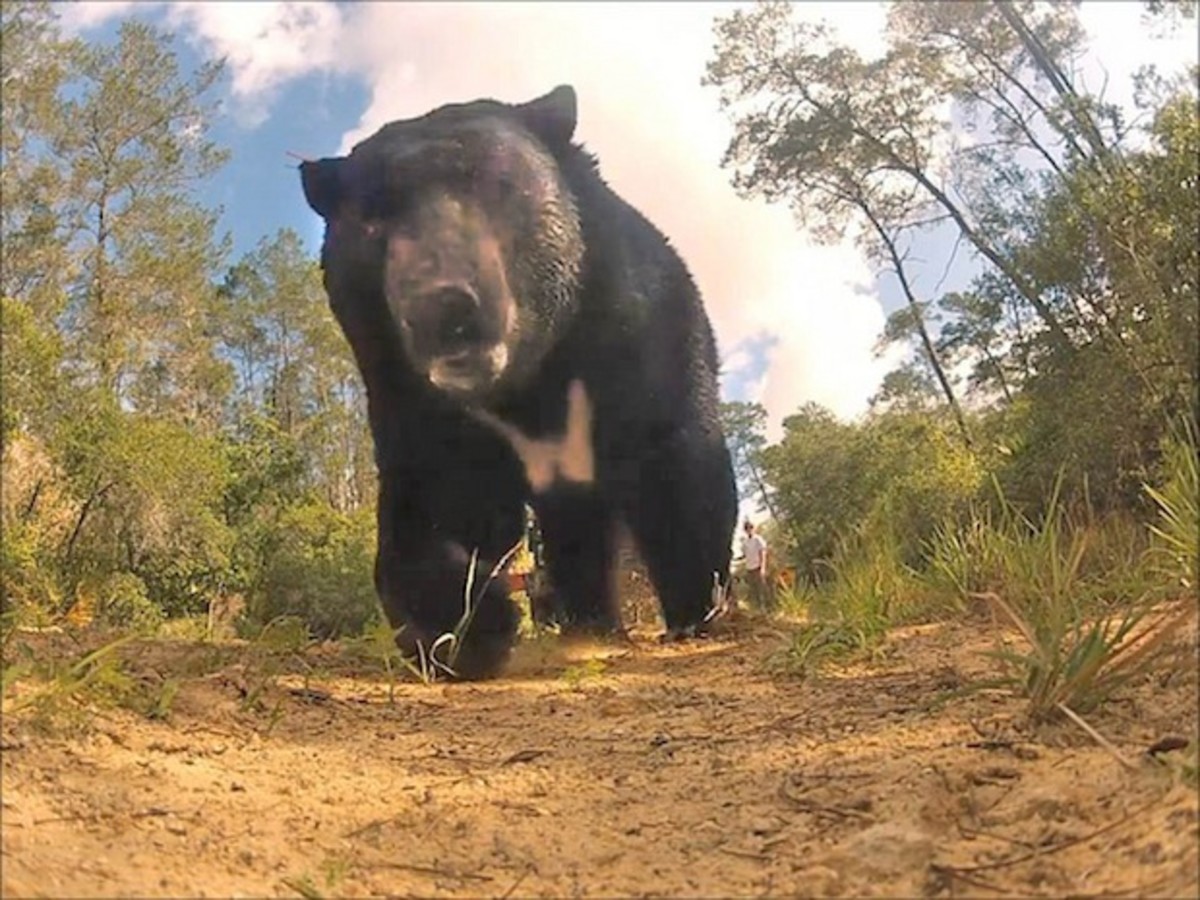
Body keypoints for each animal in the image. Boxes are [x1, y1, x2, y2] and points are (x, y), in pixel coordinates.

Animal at [295, 86, 734, 681]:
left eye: (494, 185)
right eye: (372, 221)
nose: (443, 306)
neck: (525, 383)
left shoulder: (636, 323)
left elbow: (672, 457)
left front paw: (694, 611)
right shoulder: (411, 395)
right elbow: (437, 502)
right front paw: (467, 631)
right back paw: (586, 622)